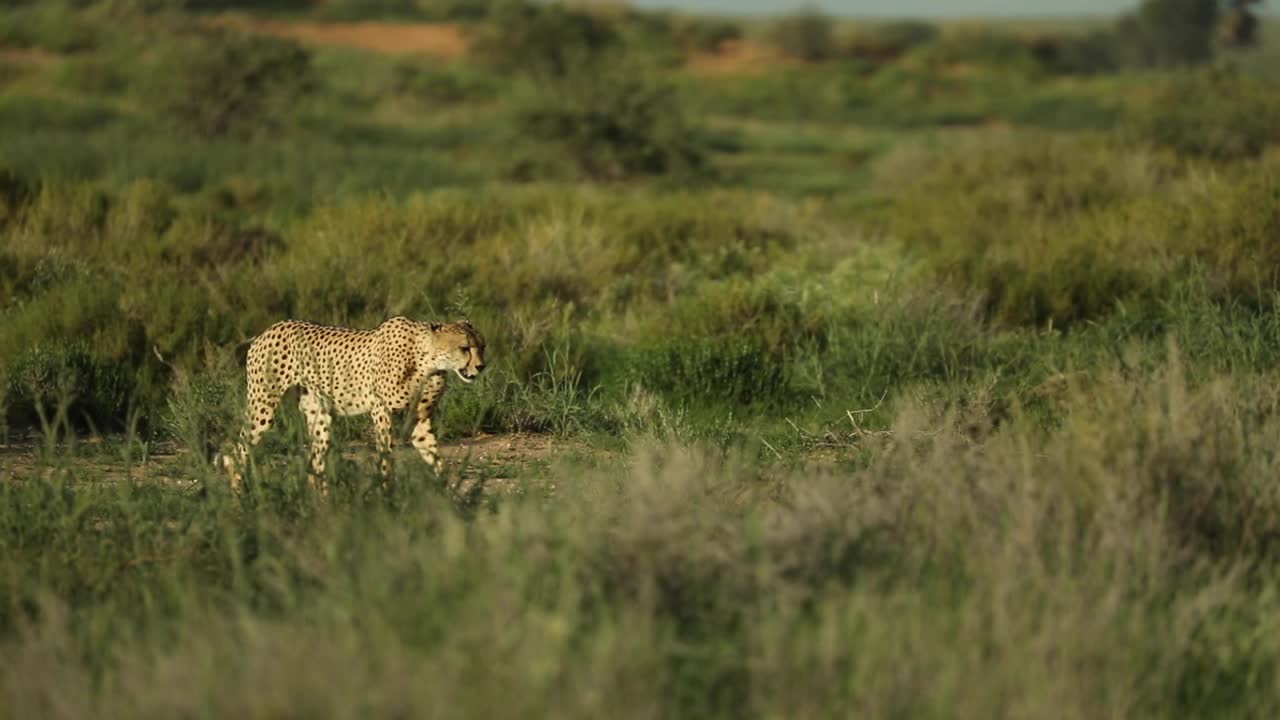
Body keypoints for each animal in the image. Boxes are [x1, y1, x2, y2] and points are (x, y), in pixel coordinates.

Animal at [219, 316, 486, 493]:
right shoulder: (381, 411)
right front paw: (387, 494)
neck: (427, 360)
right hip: (263, 406)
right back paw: (239, 500)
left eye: (482, 346)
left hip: (320, 416)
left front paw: (447, 494)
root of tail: (268, 330)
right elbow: (386, 457)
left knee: (315, 464)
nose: (481, 366)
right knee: (236, 453)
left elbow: (436, 458)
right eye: (464, 348)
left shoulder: (418, 420)